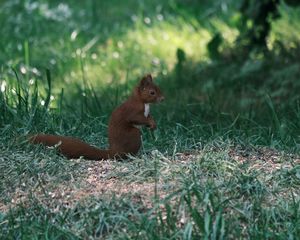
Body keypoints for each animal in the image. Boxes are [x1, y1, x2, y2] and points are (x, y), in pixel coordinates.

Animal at [29, 74, 165, 160]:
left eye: (159, 88)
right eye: (152, 92)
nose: (163, 99)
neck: (143, 102)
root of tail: (113, 152)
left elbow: (148, 117)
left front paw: (153, 123)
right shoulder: (133, 110)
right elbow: (137, 118)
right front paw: (151, 123)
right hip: (134, 135)